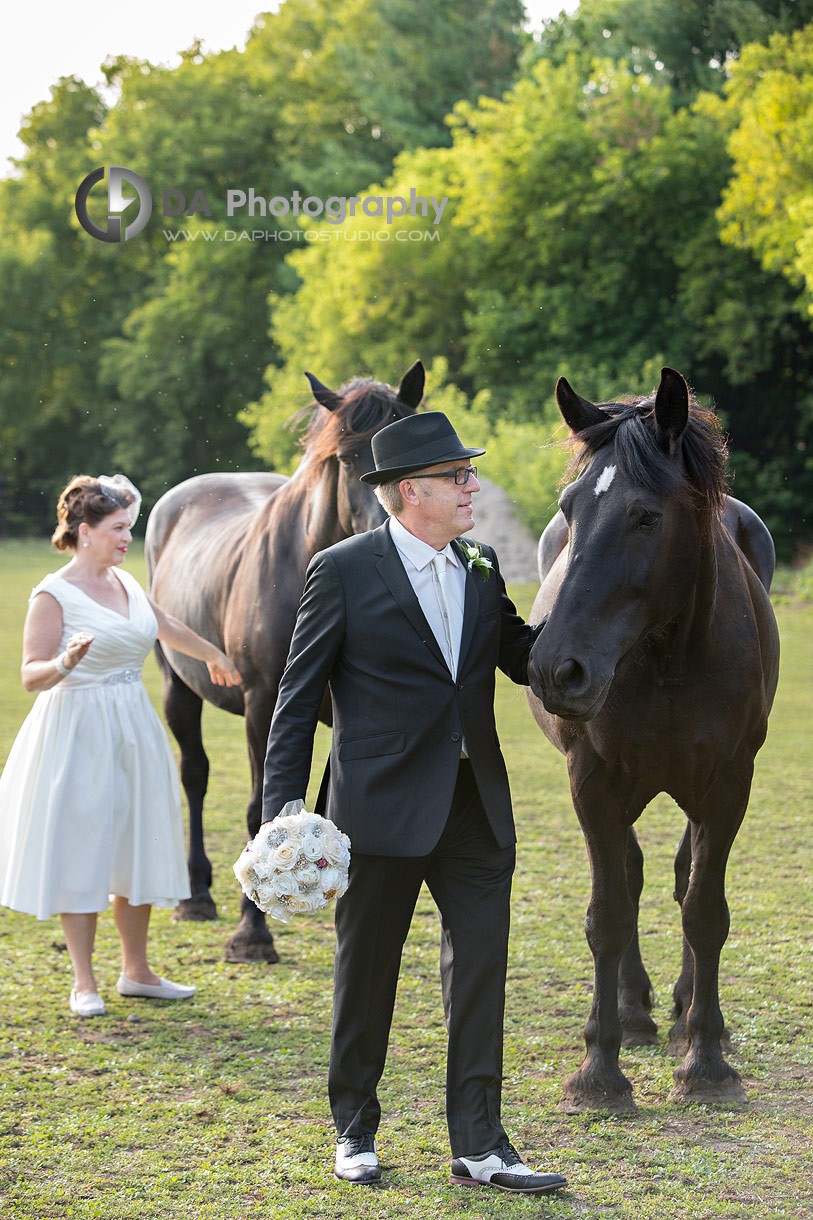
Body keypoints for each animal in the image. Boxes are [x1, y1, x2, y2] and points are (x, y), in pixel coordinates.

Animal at [146, 361, 424, 961]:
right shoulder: (265, 705)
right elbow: (261, 812)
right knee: (194, 775)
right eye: (346, 457)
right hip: (179, 689)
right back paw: (197, 895)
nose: (389, 528)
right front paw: (252, 934)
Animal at [524, 366, 781, 1112]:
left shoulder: (727, 785)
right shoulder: (592, 783)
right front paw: (599, 1070)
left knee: (680, 876)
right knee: (634, 877)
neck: (669, 656)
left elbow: (704, 911)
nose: (556, 668)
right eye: (571, 507)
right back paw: (631, 1010)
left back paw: (689, 1011)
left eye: (646, 516)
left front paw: (706, 1062)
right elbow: (608, 912)